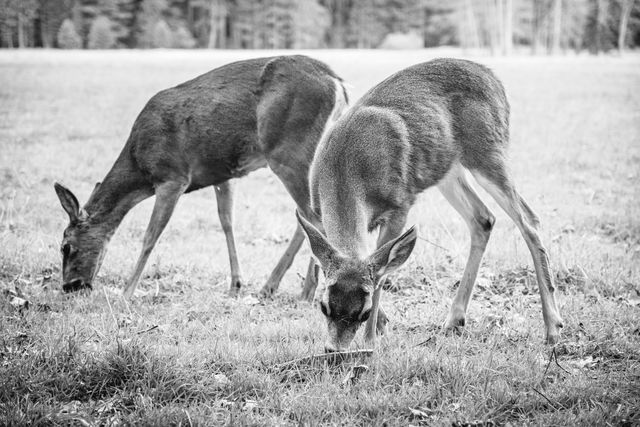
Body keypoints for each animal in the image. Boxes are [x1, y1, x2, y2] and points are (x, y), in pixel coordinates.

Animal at [52, 54, 348, 300]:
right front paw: (235, 283)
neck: (139, 167)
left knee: (313, 218)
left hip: (289, 152)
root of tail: (338, 83)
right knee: (306, 218)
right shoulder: (223, 174)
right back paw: (271, 286)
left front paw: (127, 292)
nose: (69, 286)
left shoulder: (172, 176)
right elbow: (226, 222)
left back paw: (307, 292)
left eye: (66, 246)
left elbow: (151, 235)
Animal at [298, 56, 564, 352]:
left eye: (364, 312)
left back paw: (552, 327)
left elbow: (382, 274)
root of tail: (493, 77)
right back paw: (454, 319)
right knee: (483, 218)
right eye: (323, 306)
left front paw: (371, 338)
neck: (346, 169)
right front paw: (383, 324)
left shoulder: (400, 205)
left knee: (528, 219)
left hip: (488, 151)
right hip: (448, 170)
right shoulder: (319, 216)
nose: (334, 350)